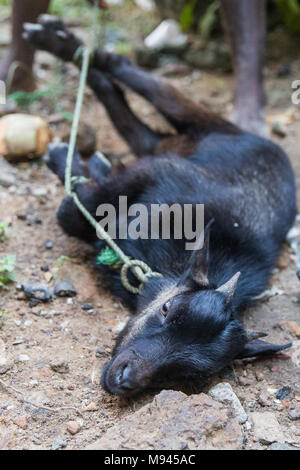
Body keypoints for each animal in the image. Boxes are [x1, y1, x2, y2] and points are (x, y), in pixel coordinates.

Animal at [24, 15, 296, 396]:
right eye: (167, 309)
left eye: (190, 372)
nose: (123, 378)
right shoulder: (161, 171)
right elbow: (72, 212)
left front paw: (82, 169)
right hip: (194, 128)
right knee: (143, 81)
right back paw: (60, 42)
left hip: (160, 142)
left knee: (132, 123)